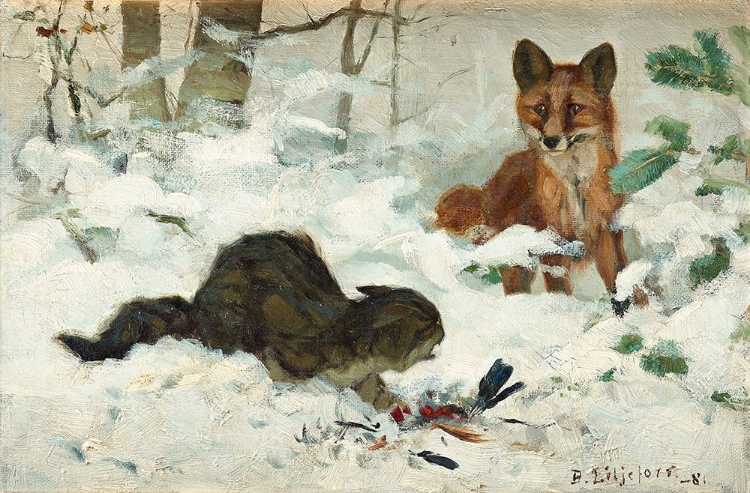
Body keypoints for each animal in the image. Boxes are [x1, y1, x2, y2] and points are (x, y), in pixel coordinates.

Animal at [436, 39, 628, 301]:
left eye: (574, 108)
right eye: (541, 109)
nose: (551, 140)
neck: (574, 185)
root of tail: (488, 191)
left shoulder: (608, 232)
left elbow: (621, 280)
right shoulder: (552, 240)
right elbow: (559, 288)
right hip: (517, 258)